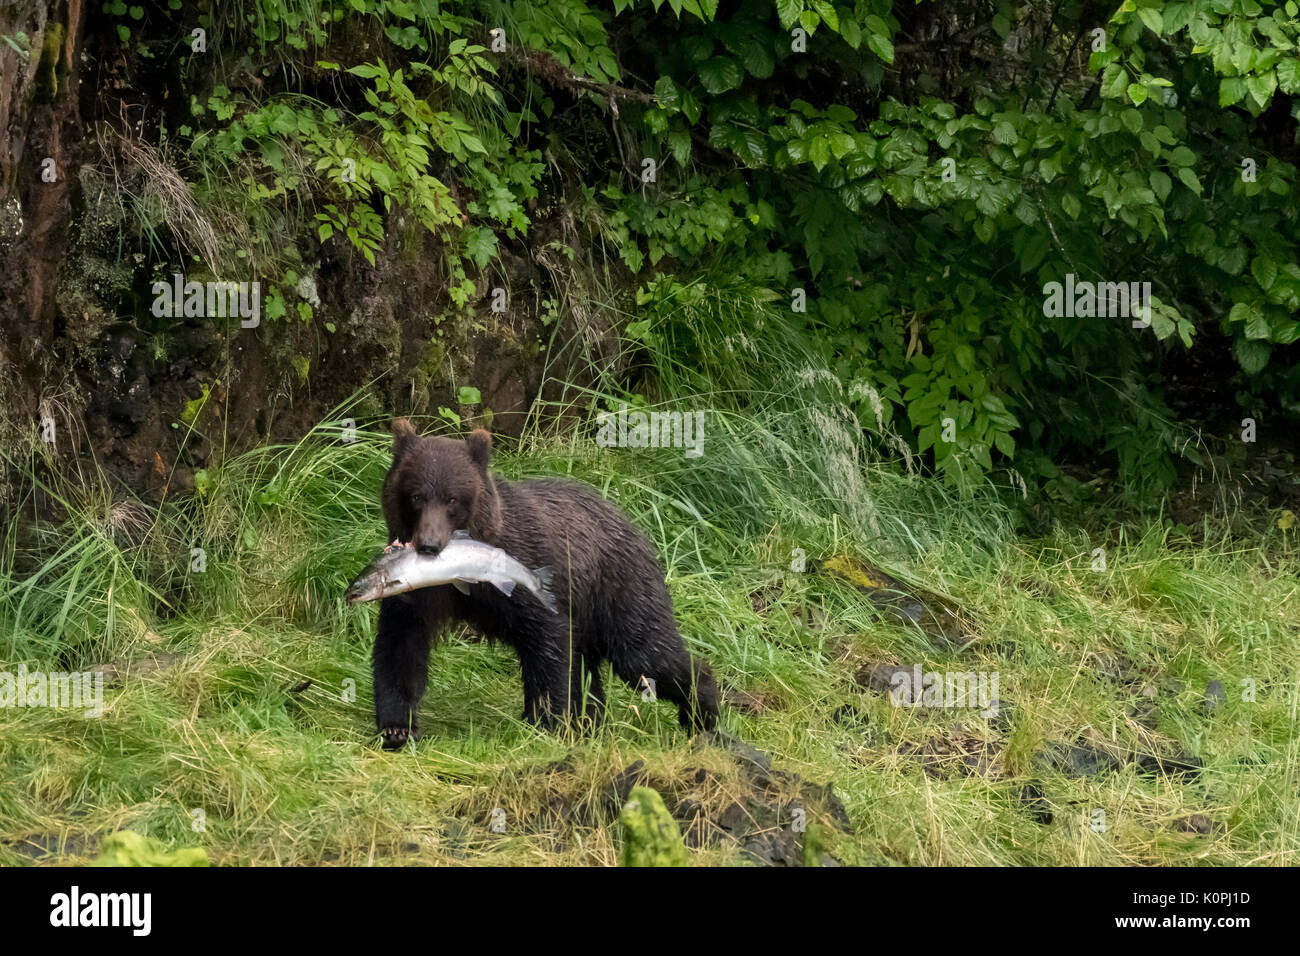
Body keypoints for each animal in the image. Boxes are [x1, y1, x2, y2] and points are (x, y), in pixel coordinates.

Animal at [374, 421, 722, 749]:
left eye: (452, 499)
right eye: (416, 496)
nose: (429, 545)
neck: (461, 568)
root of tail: (632, 523)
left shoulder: (525, 572)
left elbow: (548, 643)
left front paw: (545, 721)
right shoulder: (417, 591)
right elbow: (400, 647)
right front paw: (396, 728)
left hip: (619, 588)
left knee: (645, 654)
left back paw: (703, 710)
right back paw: (592, 722)